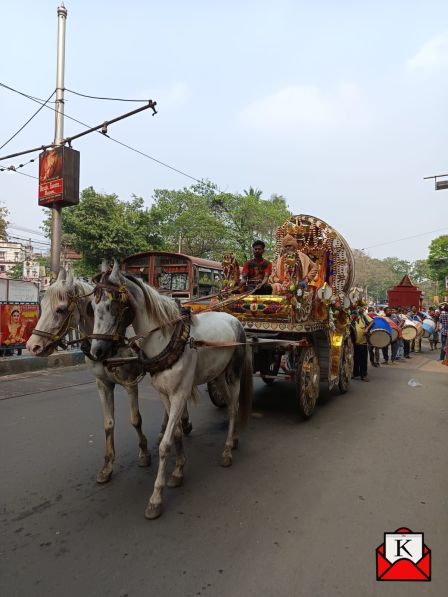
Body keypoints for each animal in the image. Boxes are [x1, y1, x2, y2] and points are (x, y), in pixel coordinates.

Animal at [26, 270, 191, 484]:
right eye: (42, 305)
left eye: (60, 310)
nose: (32, 346)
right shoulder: (102, 384)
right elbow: (108, 423)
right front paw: (107, 466)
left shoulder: (130, 382)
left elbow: (135, 419)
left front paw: (144, 453)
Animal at [90, 260, 252, 516]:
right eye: (92, 307)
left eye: (112, 305)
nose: (96, 351)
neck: (166, 340)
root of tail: (234, 319)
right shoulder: (164, 395)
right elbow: (174, 433)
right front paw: (178, 471)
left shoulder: (179, 394)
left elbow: (165, 444)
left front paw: (156, 497)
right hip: (217, 375)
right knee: (228, 405)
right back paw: (233, 439)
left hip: (233, 374)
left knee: (234, 409)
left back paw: (227, 451)